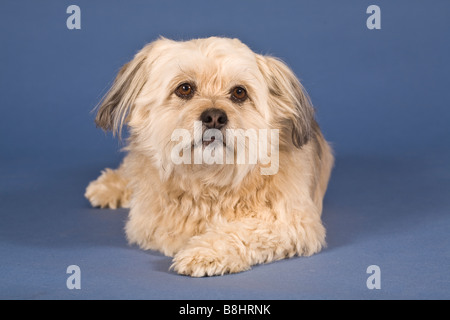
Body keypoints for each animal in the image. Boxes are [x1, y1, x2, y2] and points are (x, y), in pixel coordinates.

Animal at [86, 37, 334, 278]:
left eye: (239, 92)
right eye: (185, 88)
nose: (214, 117)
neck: (210, 181)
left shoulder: (293, 222)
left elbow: (242, 230)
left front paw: (205, 252)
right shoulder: (149, 223)